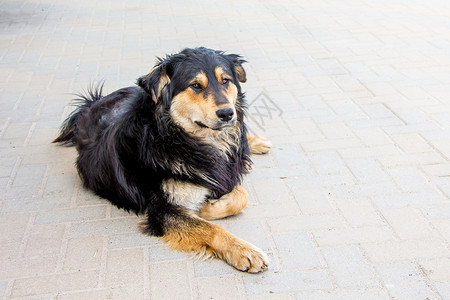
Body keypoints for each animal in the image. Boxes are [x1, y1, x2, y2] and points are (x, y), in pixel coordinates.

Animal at [52, 46, 270, 272]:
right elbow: (211, 228)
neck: (178, 137)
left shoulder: (227, 174)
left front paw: (206, 208)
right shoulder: (163, 211)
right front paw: (244, 250)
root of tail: (92, 103)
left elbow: (241, 196)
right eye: (195, 85)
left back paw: (256, 141)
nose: (227, 113)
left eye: (225, 80)